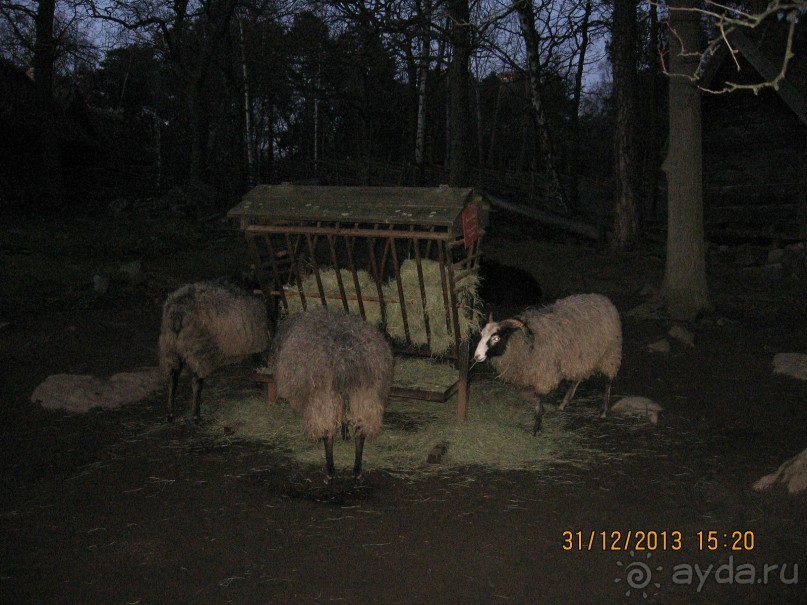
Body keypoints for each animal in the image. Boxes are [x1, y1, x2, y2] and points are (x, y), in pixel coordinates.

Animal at [159, 278, 270, 420]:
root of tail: (178, 311)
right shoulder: (257, 342)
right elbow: (259, 363)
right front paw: (260, 382)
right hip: (198, 349)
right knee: (195, 381)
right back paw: (195, 414)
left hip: (169, 347)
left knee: (172, 379)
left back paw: (170, 413)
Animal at [274, 310, 396, 478]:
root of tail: (345, 358)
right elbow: (344, 418)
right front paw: (345, 433)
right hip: (364, 395)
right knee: (360, 432)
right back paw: (357, 469)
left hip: (325, 397)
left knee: (328, 434)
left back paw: (330, 469)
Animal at [474, 292, 624, 434]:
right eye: (481, 334)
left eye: (496, 338)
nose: (477, 356)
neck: (523, 342)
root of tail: (603, 299)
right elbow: (536, 397)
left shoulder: (543, 371)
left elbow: (539, 397)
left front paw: (537, 427)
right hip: (581, 355)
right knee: (578, 377)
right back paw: (564, 403)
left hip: (610, 352)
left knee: (608, 379)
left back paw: (603, 410)